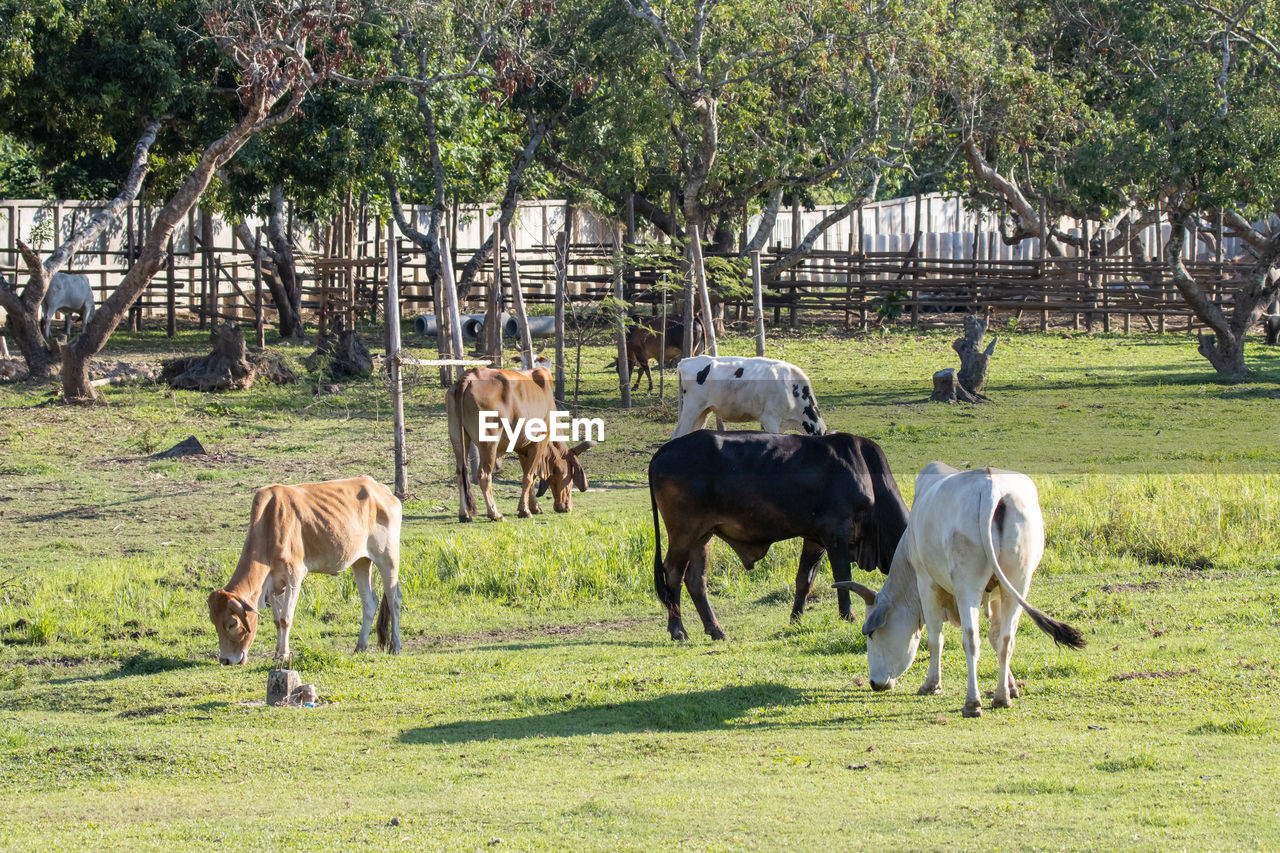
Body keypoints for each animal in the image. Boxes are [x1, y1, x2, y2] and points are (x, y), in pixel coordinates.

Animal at [207, 473, 401, 660]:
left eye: (233, 623)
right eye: (214, 623)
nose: (225, 660)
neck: (268, 523)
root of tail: (381, 490)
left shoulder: (294, 575)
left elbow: (285, 618)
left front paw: (283, 654)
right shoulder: (273, 583)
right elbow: (277, 620)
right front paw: (277, 652)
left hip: (388, 557)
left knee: (394, 598)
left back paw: (396, 646)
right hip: (361, 561)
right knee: (369, 602)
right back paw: (360, 646)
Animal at [448, 368, 591, 522]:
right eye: (570, 476)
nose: (567, 506)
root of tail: (468, 377)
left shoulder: (523, 449)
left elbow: (530, 477)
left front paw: (534, 507)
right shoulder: (539, 443)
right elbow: (529, 476)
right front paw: (525, 510)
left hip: (458, 438)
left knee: (460, 472)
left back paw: (464, 514)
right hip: (489, 443)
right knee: (484, 475)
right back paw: (495, 513)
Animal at [650, 432, 911, 637]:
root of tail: (665, 449)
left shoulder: (815, 540)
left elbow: (804, 580)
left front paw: (796, 619)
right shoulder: (836, 534)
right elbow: (843, 577)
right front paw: (848, 616)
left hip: (702, 536)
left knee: (696, 580)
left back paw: (716, 630)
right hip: (683, 534)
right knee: (673, 574)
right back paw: (678, 630)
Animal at [839, 461, 1080, 712]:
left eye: (872, 633)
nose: (874, 683)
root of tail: (990, 486)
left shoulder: (926, 583)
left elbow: (935, 638)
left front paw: (931, 684)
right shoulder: (997, 596)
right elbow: (996, 638)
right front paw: (1012, 687)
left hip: (967, 585)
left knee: (971, 639)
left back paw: (972, 703)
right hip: (1018, 582)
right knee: (1007, 638)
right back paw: (1001, 697)